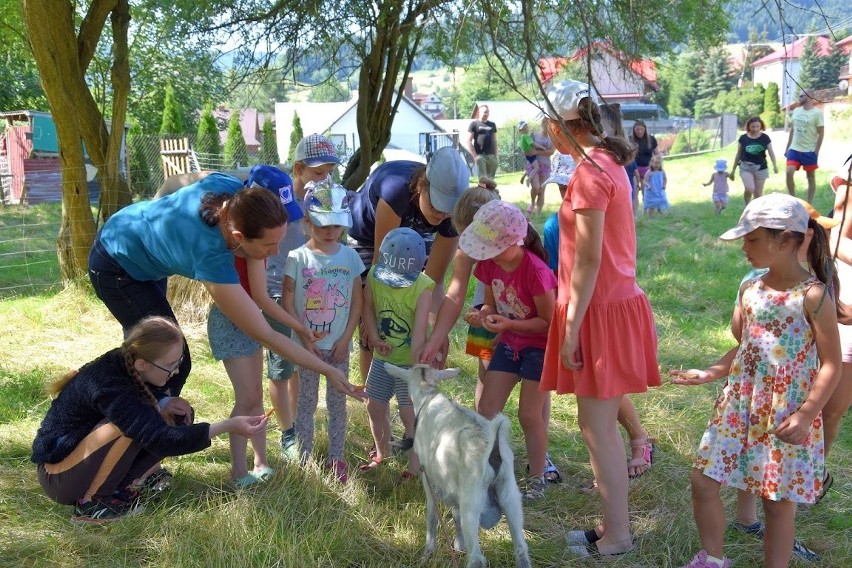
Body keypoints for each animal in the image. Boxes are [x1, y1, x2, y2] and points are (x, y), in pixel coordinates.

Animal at [388, 364, 532, 568]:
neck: (427, 397)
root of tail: (493, 446)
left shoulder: (429, 479)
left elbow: (432, 515)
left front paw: (427, 552)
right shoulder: (452, 486)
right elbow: (455, 516)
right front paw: (459, 545)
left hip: (472, 501)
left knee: (476, 557)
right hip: (510, 495)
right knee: (520, 548)